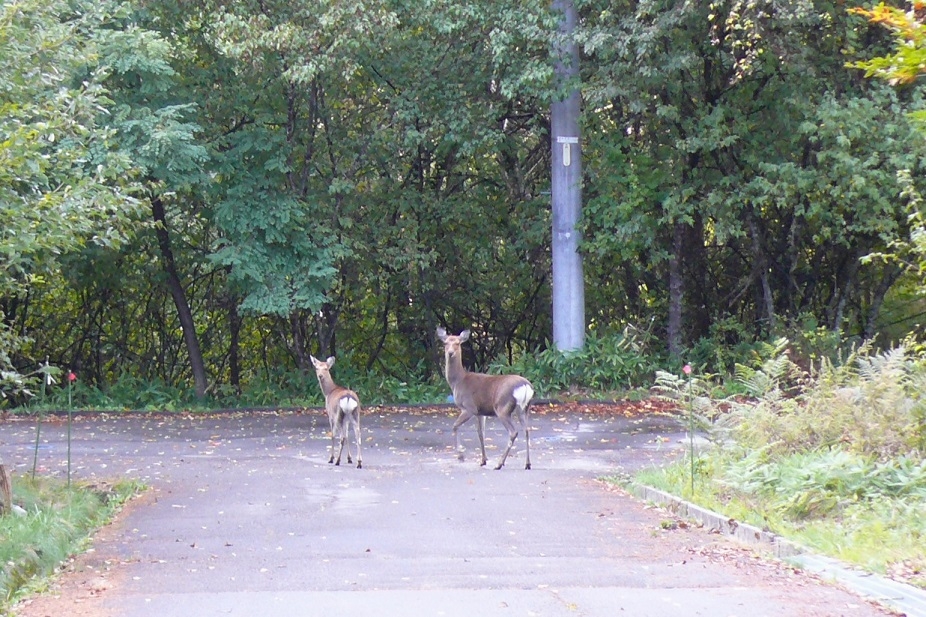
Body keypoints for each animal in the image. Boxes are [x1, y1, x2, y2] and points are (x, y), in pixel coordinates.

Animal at [436, 328, 536, 466]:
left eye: (457, 343)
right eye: (445, 343)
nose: (450, 353)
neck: (458, 381)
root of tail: (526, 386)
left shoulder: (469, 407)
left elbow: (455, 426)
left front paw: (461, 456)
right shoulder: (480, 412)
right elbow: (481, 433)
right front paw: (483, 459)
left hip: (502, 407)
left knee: (513, 432)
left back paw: (500, 463)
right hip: (524, 409)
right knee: (526, 430)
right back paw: (527, 464)